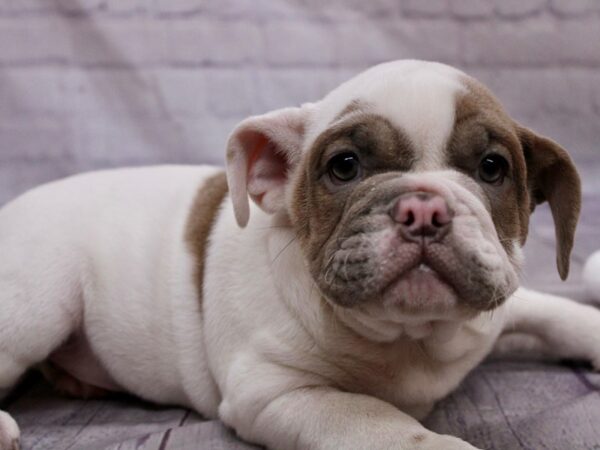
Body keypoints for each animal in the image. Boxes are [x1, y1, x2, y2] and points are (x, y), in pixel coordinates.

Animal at [0, 60, 596, 450]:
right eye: (345, 165)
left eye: (493, 167)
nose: (423, 209)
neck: (412, 336)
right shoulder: (276, 391)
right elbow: (377, 419)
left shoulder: (497, 301)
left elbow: (559, 313)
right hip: (41, 302)